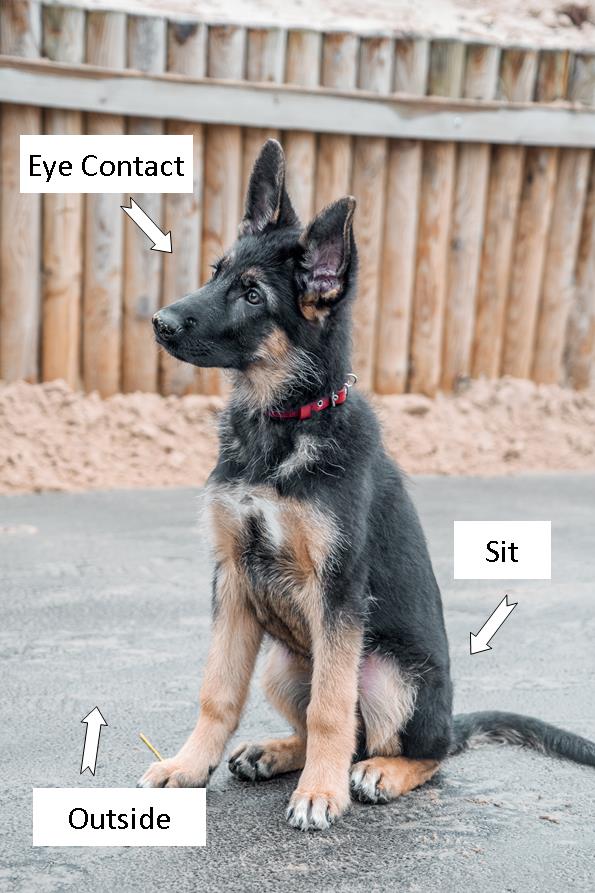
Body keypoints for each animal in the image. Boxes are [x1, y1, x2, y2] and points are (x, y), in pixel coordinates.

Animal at [141, 139, 595, 828]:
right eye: (217, 272)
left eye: (252, 295)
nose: (161, 323)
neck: (284, 422)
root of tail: (450, 720)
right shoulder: (233, 578)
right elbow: (217, 691)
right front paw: (190, 766)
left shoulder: (339, 591)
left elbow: (331, 708)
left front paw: (321, 795)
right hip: (283, 662)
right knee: (319, 722)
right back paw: (279, 753)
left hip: (389, 675)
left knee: (412, 748)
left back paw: (377, 771)